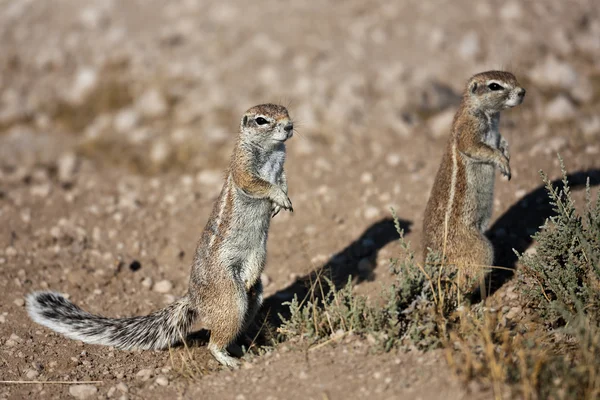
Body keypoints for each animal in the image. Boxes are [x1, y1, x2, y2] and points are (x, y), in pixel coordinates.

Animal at [28, 104, 296, 368]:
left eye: (286, 111)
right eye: (261, 120)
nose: (290, 126)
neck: (271, 150)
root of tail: (193, 298)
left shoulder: (281, 167)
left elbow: (283, 181)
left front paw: (281, 201)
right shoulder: (243, 166)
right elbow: (257, 183)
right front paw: (278, 197)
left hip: (253, 295)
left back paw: (244, 352)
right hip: (230, 296)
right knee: (214, 341)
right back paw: (229, 359)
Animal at [422, 72, 524, 290]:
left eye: (513, 76)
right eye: (494, 86)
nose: (523, 92)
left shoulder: (497, 132)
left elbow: (501, 140)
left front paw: (507, 154)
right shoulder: (469, 129)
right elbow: (476, 147)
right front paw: (502, 161)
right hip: (481, 249)